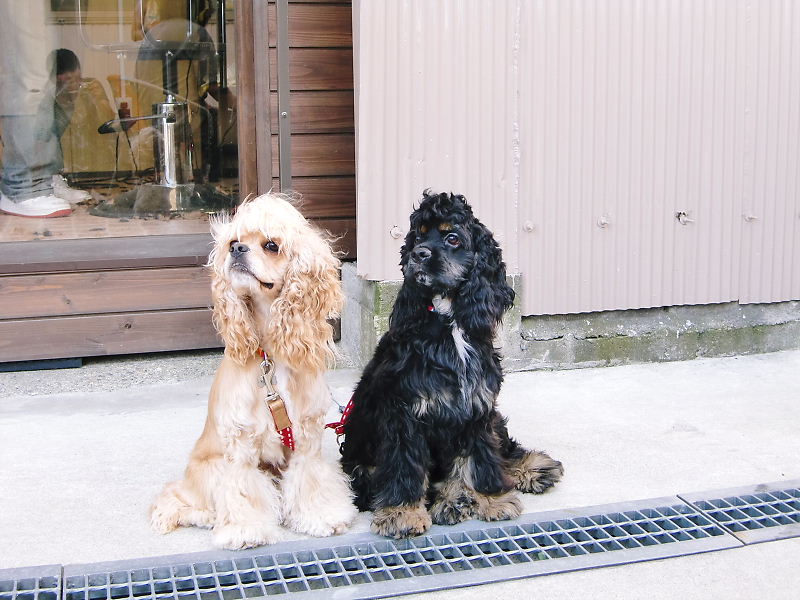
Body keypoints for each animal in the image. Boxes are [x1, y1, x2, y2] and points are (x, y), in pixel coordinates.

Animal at [150, 193, 356, 549]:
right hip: (208, 468)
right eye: (233, 241)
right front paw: (247, 531)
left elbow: (311, 479)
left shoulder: (307, 436)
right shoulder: (240, 441)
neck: (272, 356)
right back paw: (204, 515)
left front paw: (321, 517)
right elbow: (242, 489)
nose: (237, 250)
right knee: (179, 497)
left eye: (271, 245)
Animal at [340, 190, 563, 538]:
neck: (449, 322)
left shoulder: (477, 408)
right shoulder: (404, 413)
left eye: (452, 238)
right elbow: (404, 465)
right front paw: (402, 513)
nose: (418, 254)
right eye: (417, 236)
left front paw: (492, 499)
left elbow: (481, 457)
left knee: (503, 447)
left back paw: (532, 468)